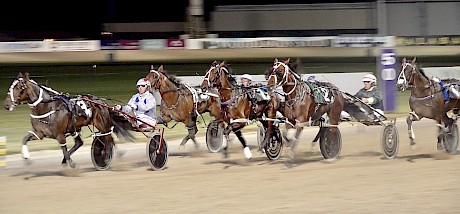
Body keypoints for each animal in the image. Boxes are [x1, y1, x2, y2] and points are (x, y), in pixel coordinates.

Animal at [3, 72, 135, 170]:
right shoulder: (39, 133)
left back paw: (107, 156)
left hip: (102, 124)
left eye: (19, 87)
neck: (47, 107)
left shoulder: (60, 135)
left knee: (108, 138)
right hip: (75, 128)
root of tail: (100, 101)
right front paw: (26, 158)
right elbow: (24, 139)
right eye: (11, 87)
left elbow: (64, 149)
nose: (6, 105)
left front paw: (71, 163)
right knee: (81, 142)